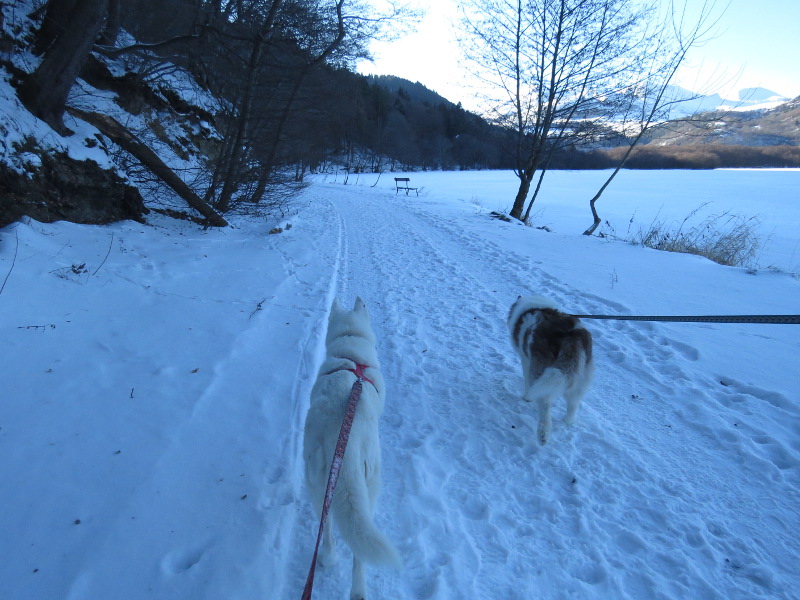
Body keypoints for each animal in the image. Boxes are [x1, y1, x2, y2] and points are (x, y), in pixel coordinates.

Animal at [506, 296, 592, 446]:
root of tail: (571, 334)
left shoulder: (526, 360)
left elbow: (527, 380)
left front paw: (527, 398)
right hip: (578, 378)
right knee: (573, 403)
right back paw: (568, 421)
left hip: (541, 371)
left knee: (545, 407)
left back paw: (543, 435)